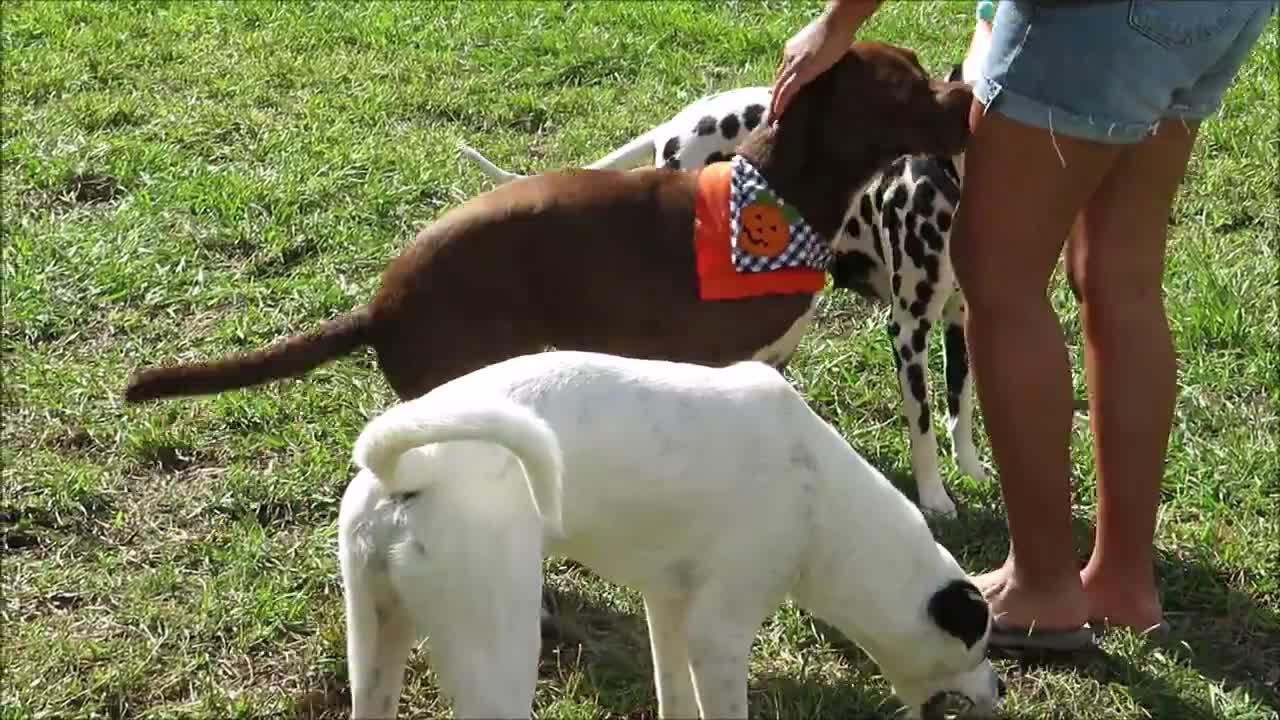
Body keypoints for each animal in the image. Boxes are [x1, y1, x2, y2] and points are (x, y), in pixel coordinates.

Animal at [337, 348, 998, 717]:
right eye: (979, 646)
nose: (998, 692)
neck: (828, 502)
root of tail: (410, 468)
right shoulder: (719, 635)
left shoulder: (669, 606)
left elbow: (673, 697)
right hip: (496, 660)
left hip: (374, 647)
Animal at [458, 63, 977, 515]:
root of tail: (678, 123)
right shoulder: (908, 329)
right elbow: (923, 423)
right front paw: (935, 496)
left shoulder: (961, 320)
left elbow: (960, 404)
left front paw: (971, 467)